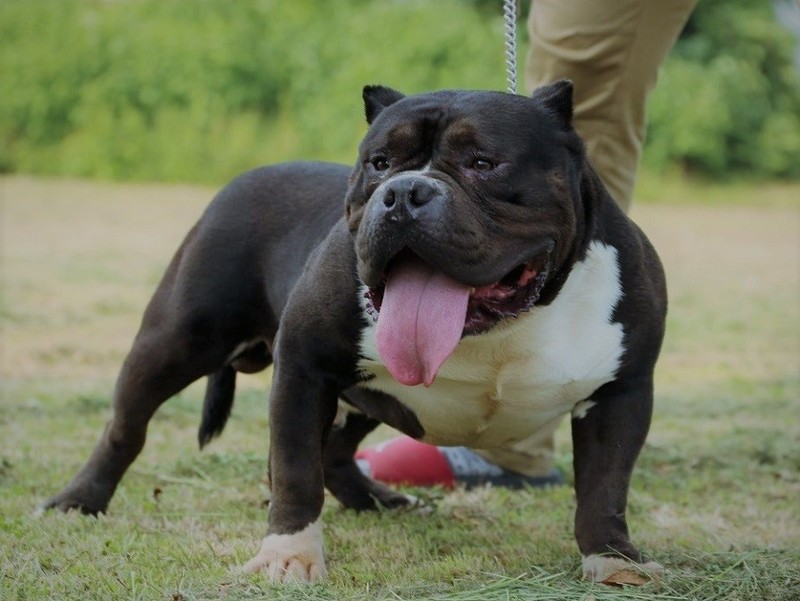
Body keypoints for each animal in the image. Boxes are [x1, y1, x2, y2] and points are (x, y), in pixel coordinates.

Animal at [43, 79, 668, 580]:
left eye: (483, 163)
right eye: (380, 163)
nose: (405, 192)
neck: (498, 329)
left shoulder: (622, 393)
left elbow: (605, 487)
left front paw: (614, 561)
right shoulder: (304, 366)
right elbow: (296, 471)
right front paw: (288, 556)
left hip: (361, 394)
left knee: (338, 450)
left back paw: (376, 500)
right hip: (176, 341)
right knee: (127, 426)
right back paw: (79, 500)